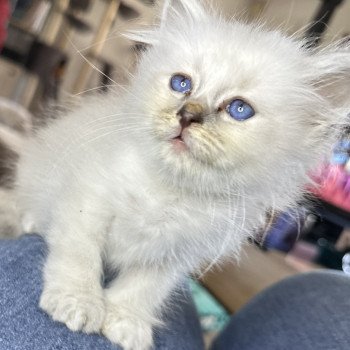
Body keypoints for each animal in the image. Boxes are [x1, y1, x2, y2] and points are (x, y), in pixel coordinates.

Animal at [15, 0, 350, 350]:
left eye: (239, 109)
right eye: (181, 83)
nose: (187, 115)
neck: (169, 192)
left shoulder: (174, 257)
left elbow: (144, 289)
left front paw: (125, 323)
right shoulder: (86, 203)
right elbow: (80, 256)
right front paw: (77, 302)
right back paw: (31, 221)